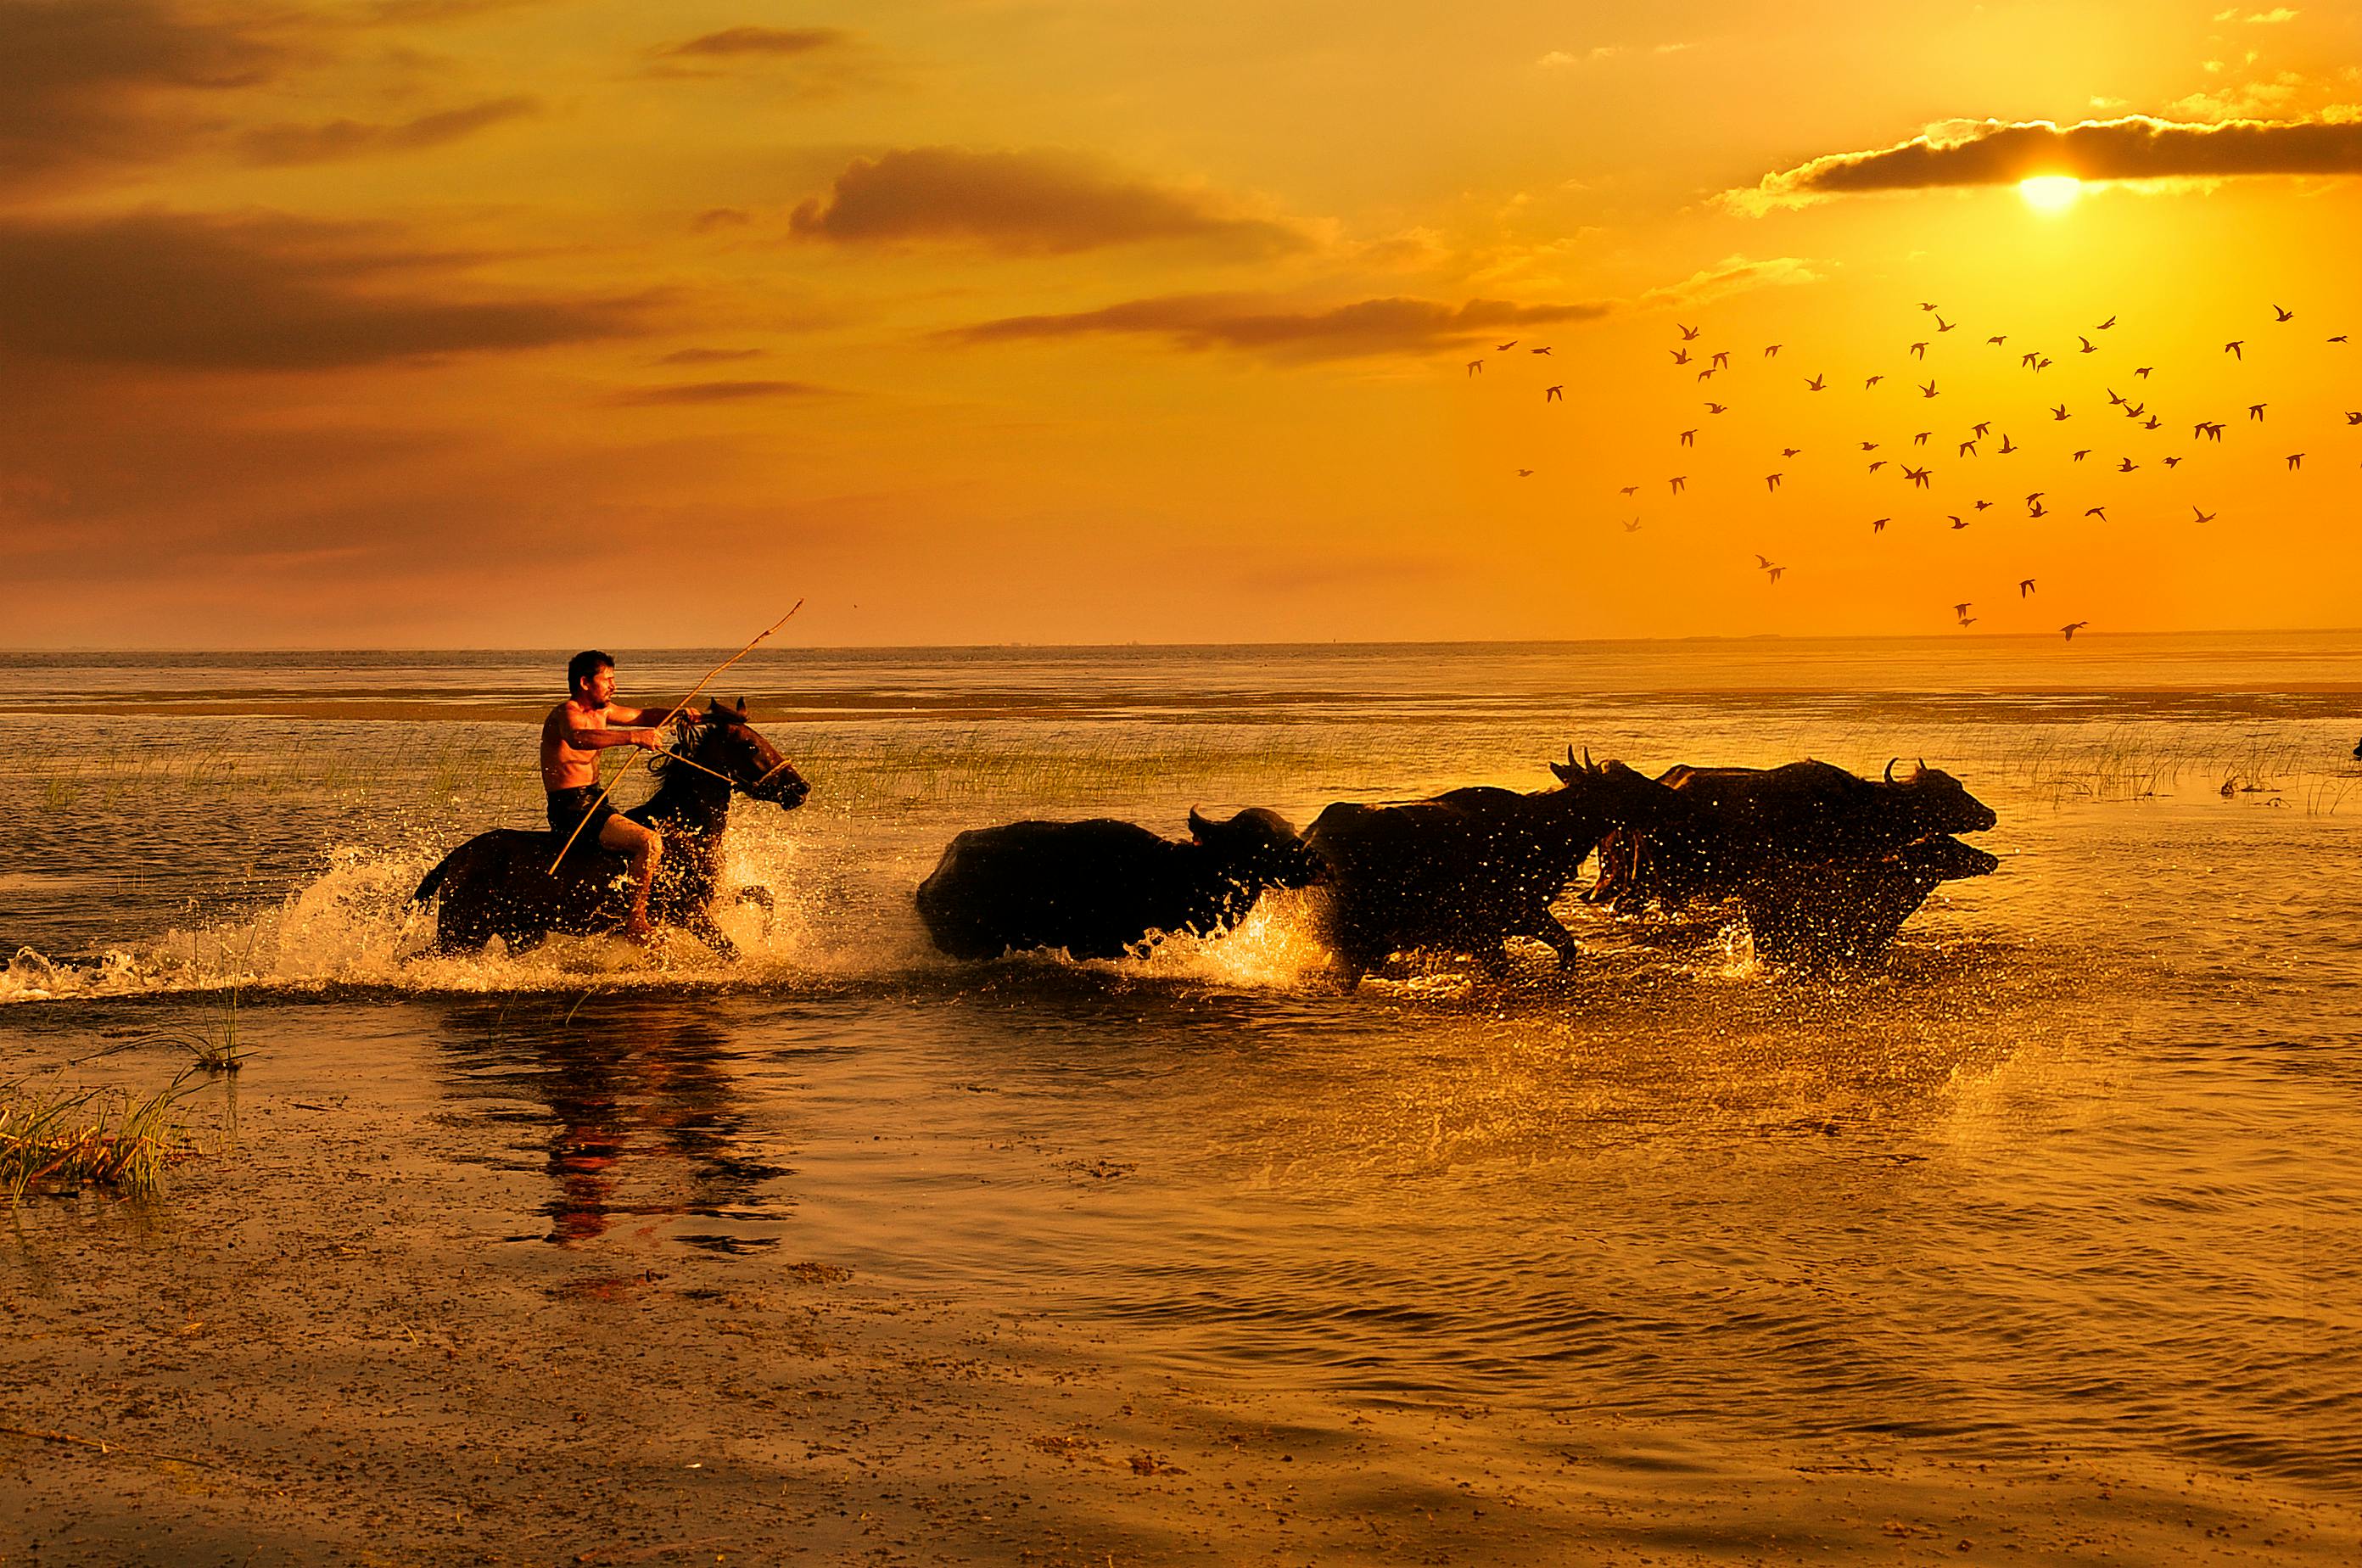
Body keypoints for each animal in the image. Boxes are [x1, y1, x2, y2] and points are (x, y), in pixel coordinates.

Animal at [409, 698, 808, 958]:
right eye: (750, 745)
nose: (800, 788)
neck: (685, 830)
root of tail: (458, 856)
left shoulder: (711, 900)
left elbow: (764, 896)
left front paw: (769, 935)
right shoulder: (689, 911)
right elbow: (732, 953)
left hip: (517, 933)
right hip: (462, 932)